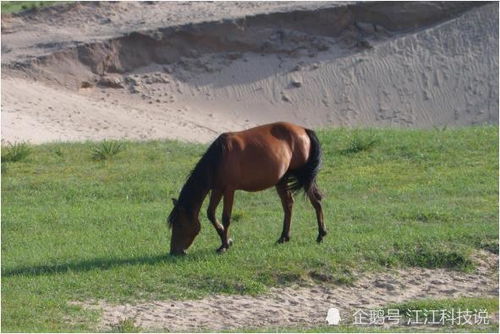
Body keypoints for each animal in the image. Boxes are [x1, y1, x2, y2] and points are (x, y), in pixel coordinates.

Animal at [166, 121, 326, 254]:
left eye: (179, 225)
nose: (174, 251)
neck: (219, 157)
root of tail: (304, 130)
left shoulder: (229, 190)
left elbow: (226, 217)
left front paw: (224, 245)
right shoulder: (217, 189)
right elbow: (211, 214)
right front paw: (226, 240)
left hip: (305, 178)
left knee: (315, 202)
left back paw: (321, 234)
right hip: (281, 180)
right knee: (288, 205)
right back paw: (284, 237)